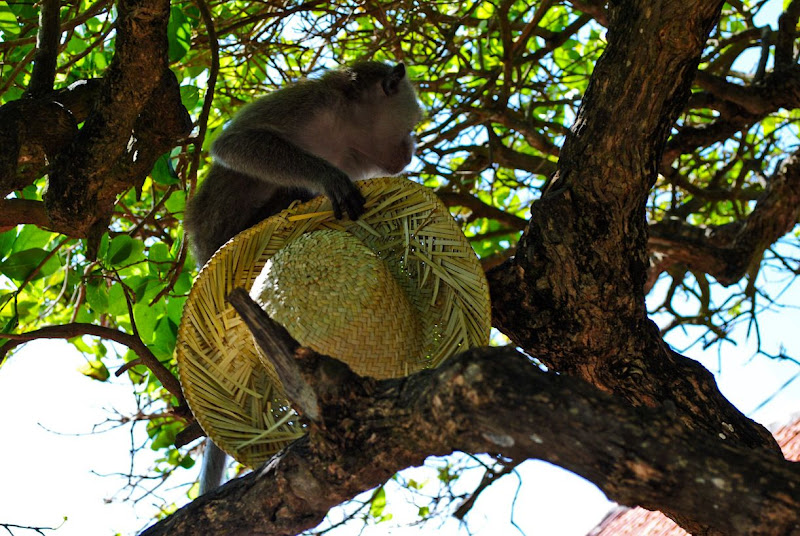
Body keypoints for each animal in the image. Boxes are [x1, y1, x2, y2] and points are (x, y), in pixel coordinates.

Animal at [185, 61, 424, 494]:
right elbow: (235, 144)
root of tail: (201, 255)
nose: (412, 149)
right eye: (411, 123)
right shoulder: (310, 103)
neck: (343, 131)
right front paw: (326, 176)